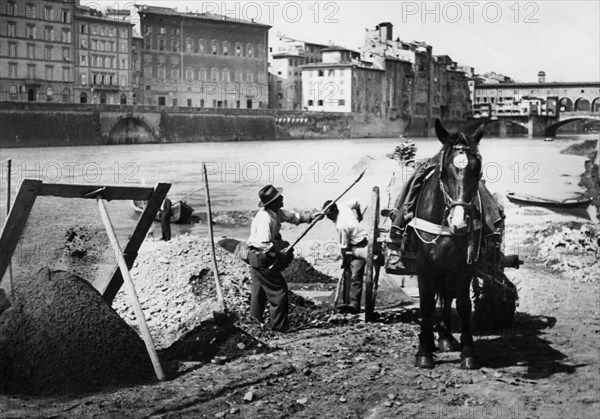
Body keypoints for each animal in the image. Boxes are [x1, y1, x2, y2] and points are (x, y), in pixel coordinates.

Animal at [396, 120, 486, 370]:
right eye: (444, 170)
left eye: (478, 168)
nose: (459, 222)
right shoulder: (423, 264)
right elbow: (426, 304)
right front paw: (423, 351)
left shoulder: (465, 265)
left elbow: (463, 303)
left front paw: (468, 352)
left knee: (447, 294)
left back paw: (445, 337)